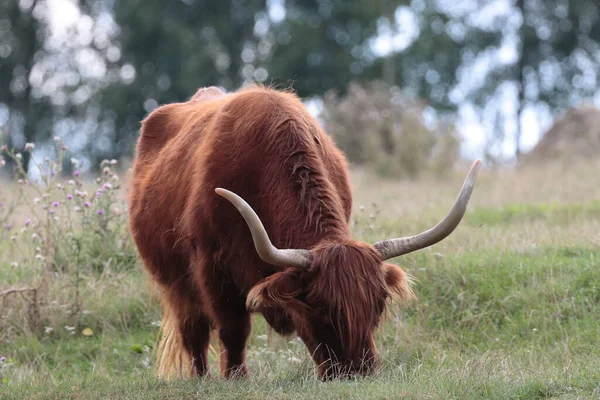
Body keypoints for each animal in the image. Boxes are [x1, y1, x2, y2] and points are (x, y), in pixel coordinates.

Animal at [127, 83, 482, 378]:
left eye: (379, 303)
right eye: (320, 306)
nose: (357, 372)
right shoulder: (212, 268)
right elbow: (233, 328)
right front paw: (236, 379)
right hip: (174, 281)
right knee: (194, 331)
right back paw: (201, 378)